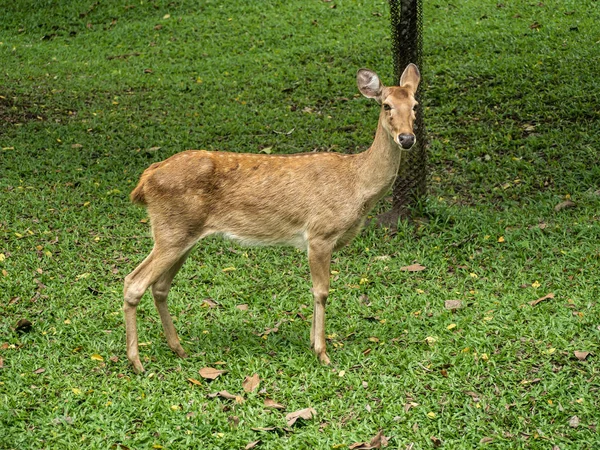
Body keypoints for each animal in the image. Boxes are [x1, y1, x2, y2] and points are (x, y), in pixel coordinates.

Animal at [123, 63, 422, 372]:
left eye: (415, 105)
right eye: (386, 105)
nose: (407, 138)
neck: (357, 184)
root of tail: (145, 180)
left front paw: (313, 344)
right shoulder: (320, 234)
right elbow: (322, 291)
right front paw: (322, 353)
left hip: (182, 234)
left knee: (160, 287)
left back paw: (179, 349)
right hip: (171, 231)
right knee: (134, 283)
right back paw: (137, 362)